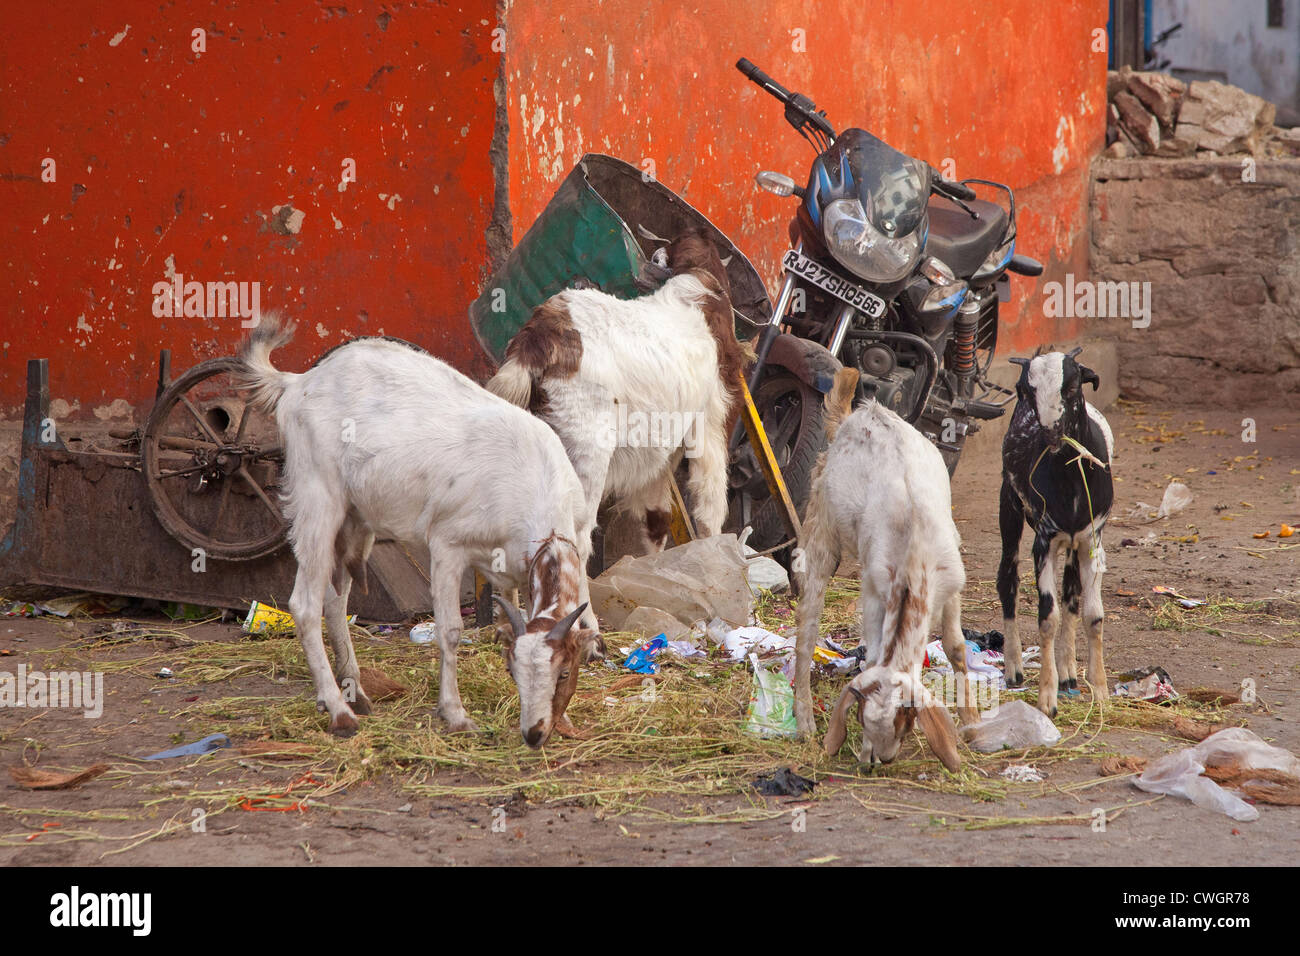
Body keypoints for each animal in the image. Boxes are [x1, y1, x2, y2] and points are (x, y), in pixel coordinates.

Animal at [236, 321, 600, 749]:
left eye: (564, 672)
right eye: (513, 672)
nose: (534, 733)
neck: (534, 483)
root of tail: (297, 382)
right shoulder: (448, 545)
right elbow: (451, 631)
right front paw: (455, 714)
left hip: (356, 518)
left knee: (335, 599)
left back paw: (355, 692)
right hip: (316, 496)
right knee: (304, 604)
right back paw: (339, 712)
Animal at [488, 231, 748, 567]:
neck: (700, 282)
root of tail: (537, 342)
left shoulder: (662, 453)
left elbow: (657, 516)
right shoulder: (713, 420)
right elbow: (710, 506)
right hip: (586, 451)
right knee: (575, 536)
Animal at [790, 369, 977, 775]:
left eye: (904, 722)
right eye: (862, 719)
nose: (880, 759)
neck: (914, 559)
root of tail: (860, 414)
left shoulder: (952, 582)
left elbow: (955, 646)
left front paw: (971, 725)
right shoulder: (875, 591)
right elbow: (874, 657)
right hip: (820, 525)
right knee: (806, 628)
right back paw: (804, 719)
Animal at [998, 348, 1112, 712]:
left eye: (1073, 387)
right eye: (1024, 391)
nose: (1050, 433)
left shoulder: (1092, 540)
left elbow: (1092, 616)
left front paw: (1100, 691)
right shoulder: (1044, 541)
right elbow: (1048, 617)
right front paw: (1046, 697)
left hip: (1075, 545)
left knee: (1072, 594)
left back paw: (1068, 672)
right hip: (1009, 504)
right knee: (1007, 580)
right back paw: (1014, 667)